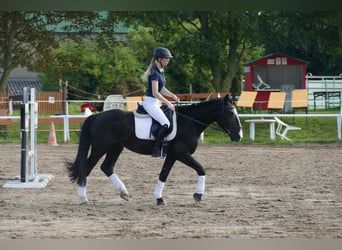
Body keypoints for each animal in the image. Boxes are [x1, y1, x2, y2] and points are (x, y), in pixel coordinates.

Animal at [67, 95, 243, 205]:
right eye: (229, 112)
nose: (239, 135)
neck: (188, 123)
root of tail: (97, 116)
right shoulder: (181, 154)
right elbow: (201, 169)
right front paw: (197, 195)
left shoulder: (172, 155)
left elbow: (164, 175)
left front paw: (159, 198)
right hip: (100, 148)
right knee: (87, 168)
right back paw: (83, 198)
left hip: (116, 147)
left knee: (107, 167)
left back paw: (124, 192)